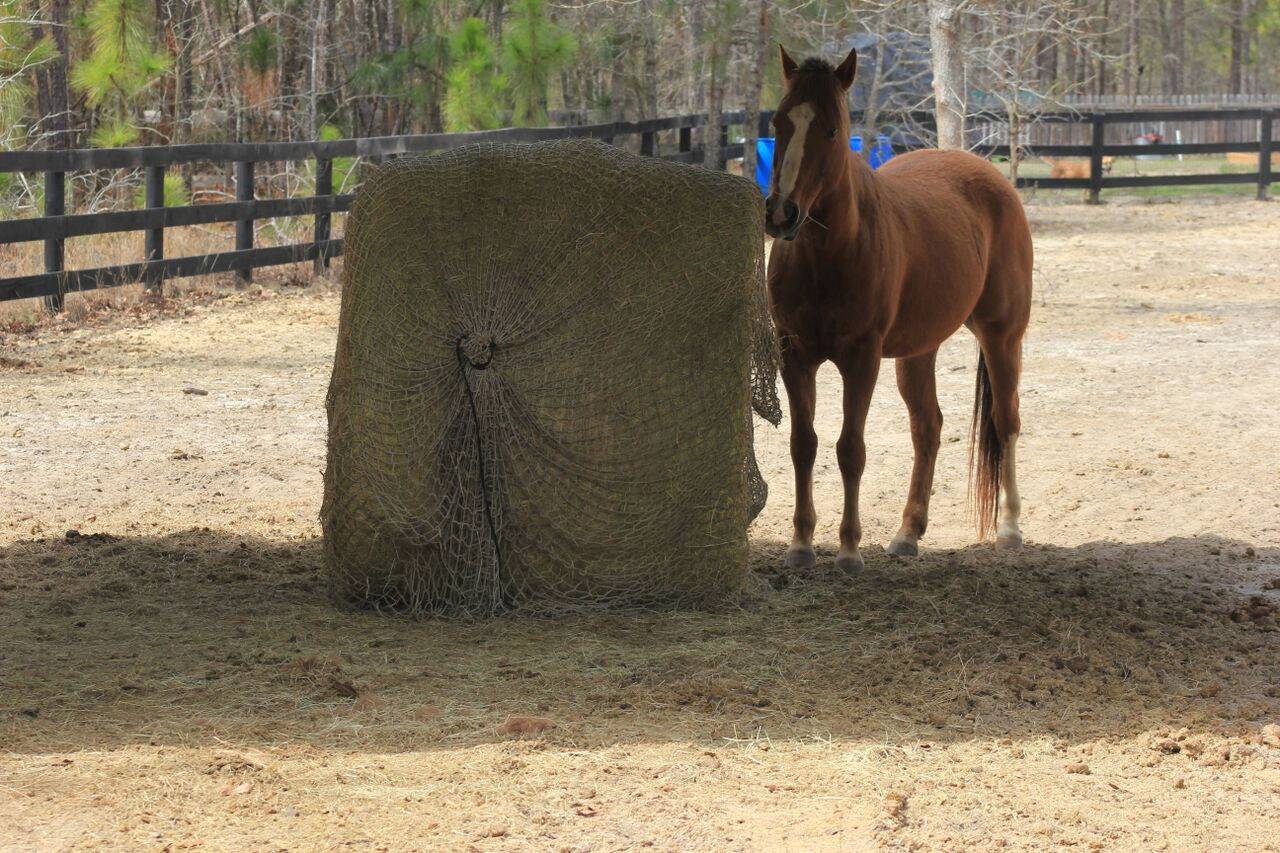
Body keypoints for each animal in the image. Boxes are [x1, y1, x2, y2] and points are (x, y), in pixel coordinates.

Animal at [762, 46, 1034, 571]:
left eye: (831, 130)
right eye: (779, 122)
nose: (782, 214)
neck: (828, 256)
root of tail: (992, 179)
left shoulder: (861, 359)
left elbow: (850, 449)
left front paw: (849, 550)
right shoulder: (795, 355)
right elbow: (804, 445)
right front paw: (801, 545)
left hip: (1001, 335)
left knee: (1005, 420)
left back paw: (1010, 528)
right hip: (918, 352)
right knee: (927, 428)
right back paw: (908, 532)